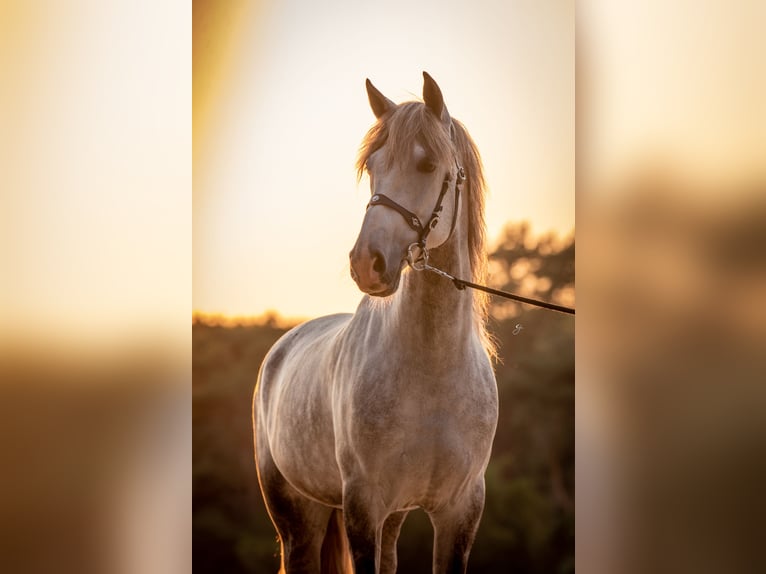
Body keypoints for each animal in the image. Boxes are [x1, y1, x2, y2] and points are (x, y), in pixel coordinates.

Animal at [255, 73, 500, 574]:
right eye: (372, 166)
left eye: (427, 164)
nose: (367, 264)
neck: (433, 370)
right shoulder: (364, 507)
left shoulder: (459, 511)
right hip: (296, 517)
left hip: (391, 518)